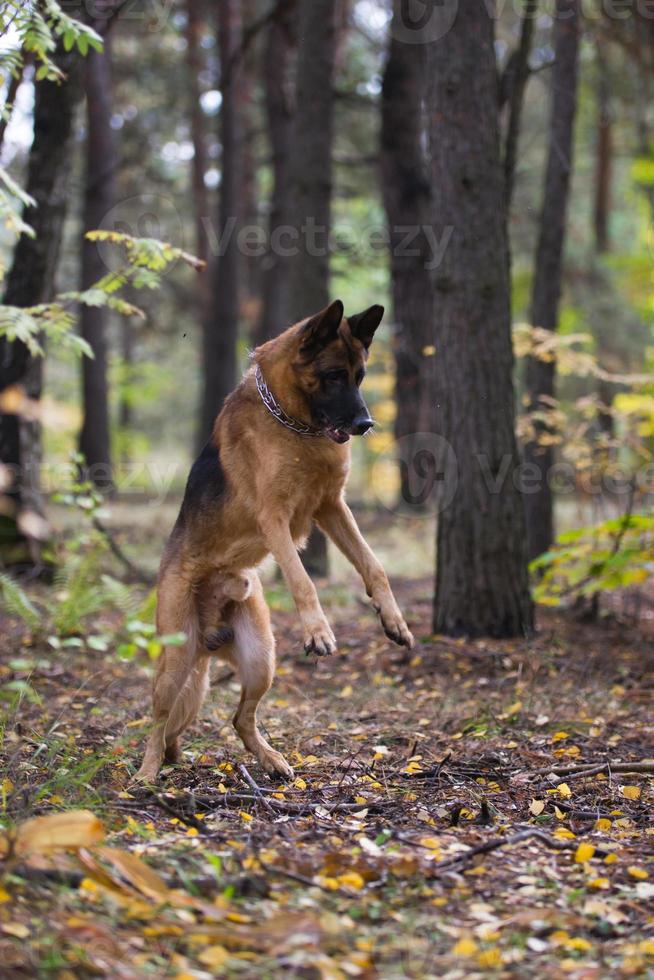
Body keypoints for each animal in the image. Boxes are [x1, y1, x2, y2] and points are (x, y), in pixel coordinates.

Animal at [137, 298, 416, 780]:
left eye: (360, 375)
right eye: (333, 375)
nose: (366, 423)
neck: (292, 423)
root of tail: (208, 637)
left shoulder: (332, 508)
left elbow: (373, 565)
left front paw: (393, 618)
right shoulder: (275, 520)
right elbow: (302, 579)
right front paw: (319, 631)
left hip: (260, 660)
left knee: (239, 718)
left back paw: (270, 759)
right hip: (175, 663)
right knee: (157, 722)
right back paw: (147, 772)